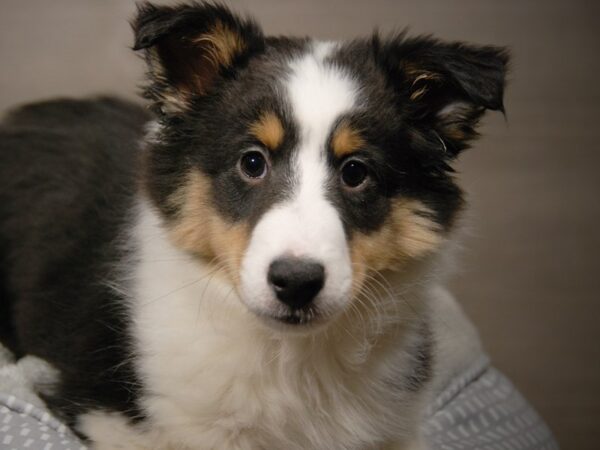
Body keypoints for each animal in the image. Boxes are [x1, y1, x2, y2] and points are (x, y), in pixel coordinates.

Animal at [0, 1, 506, 448]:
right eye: (252, 162)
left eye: (356, 172)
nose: (296, 283)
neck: (288, 356)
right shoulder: (109, 416)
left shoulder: (398, 430)